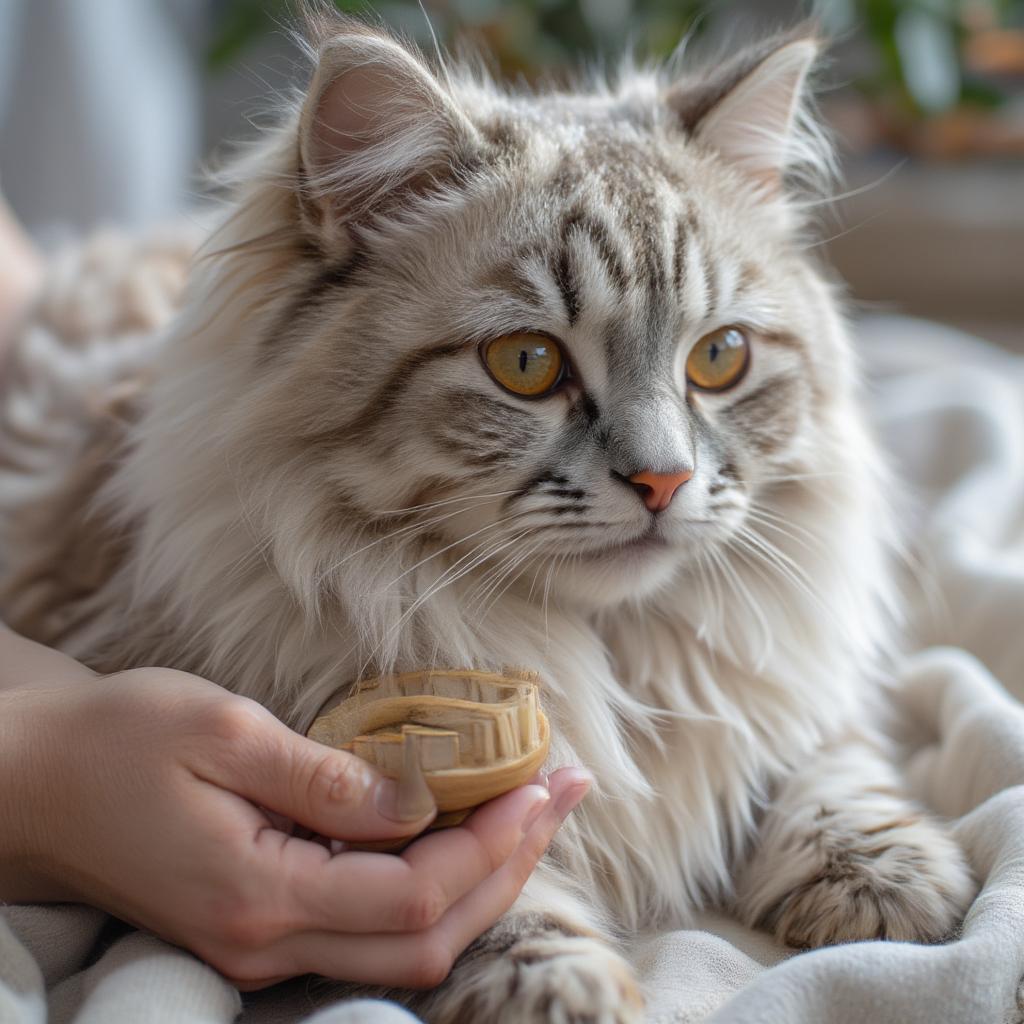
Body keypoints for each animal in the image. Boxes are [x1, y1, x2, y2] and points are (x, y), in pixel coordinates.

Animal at [0, 9, 974, 1024]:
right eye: (526, 365)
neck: (614, 652)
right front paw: (563, 989)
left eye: (721, 358)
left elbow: (827, 766)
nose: (663, 480)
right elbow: (506, 905)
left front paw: (890, 886)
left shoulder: (789, 686)